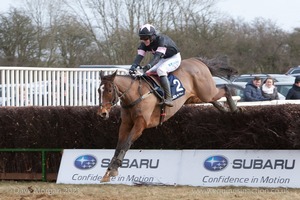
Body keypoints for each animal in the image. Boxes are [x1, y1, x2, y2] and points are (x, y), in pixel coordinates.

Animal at [98, 56, 239, 183]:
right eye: (99, 91)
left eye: (109, 90)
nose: (102, 113)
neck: (135, 94)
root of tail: (198, 61)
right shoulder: (126, 123)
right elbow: (119, 146)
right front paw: (108, 172)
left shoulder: (140, 124)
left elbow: (126, 144)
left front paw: (114, 169)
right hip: (194, 97)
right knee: (214, 98)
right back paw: (225, 109)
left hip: (206, 92)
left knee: (225, 88)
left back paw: (234, 109)